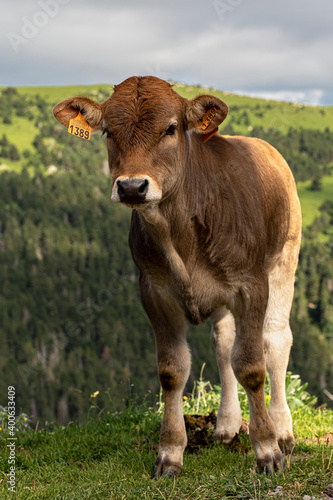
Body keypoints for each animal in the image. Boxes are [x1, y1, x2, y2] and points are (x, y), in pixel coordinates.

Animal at [53, 76, 300, 478]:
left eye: (170, 128)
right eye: (108, 132)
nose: (132, 186)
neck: (180, 235)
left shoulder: (251, 285)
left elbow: (251, 365)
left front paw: (267, 450)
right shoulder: (154, 291)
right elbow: (172, 371)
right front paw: (169, 453)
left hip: (284, 259)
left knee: (276, 340)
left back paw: (282, 430)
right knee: (223, 343)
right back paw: (227, 425)